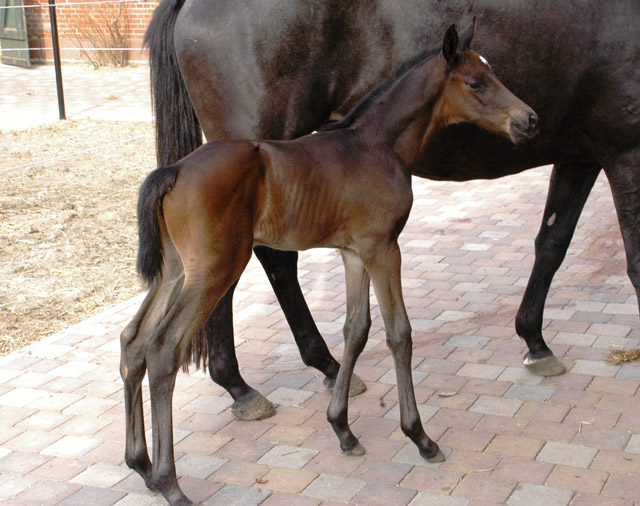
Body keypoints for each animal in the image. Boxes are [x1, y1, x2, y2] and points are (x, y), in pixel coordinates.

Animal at [121, 23, 540, 506]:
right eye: (476, 82)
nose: (529, 120)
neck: (376, 145)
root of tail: (173, 172)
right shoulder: (383, 248)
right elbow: (400, 334)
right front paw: (420, 436)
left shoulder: (354, 253)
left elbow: (356, 330)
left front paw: (343, 429)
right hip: (213, 269)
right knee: (163, 349)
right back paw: (170, 483)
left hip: (174, 271)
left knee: (133, 341)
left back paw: (141, 466)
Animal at [144, 0, 640, 420]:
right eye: (476, 82)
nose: (529, 120)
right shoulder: (624, 152)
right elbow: (633, 263)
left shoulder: (582, 154)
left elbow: (552, 243)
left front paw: (535, 341)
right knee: (252, 269)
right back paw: (245, 384)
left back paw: (309, 369)